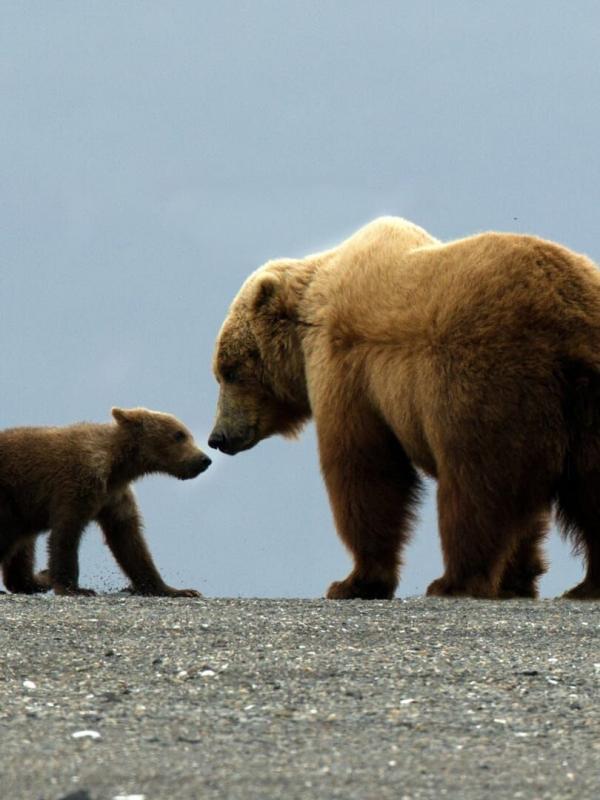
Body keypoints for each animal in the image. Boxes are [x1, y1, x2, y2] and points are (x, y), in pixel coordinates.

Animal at [0, 407, 211, 596]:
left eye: (187, 434)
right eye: (179, 435)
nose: (204, 459)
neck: (116, 466)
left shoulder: (114, 497)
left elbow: (129, 542)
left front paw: (177, 590)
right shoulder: (77, 484)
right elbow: (66, 534)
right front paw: (75, 589)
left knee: (22, 547)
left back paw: (35, 580)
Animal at [208, 216, 600, 600]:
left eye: (230, 371)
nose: (218, 437)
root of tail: (568, 323)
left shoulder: (349, 369)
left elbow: (365, 469)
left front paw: (355, 582)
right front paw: (518, 577)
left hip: (488, 380)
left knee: (475, 488)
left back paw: (453, 581)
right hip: (583, 401)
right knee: (588, 487)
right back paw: (585, 586)